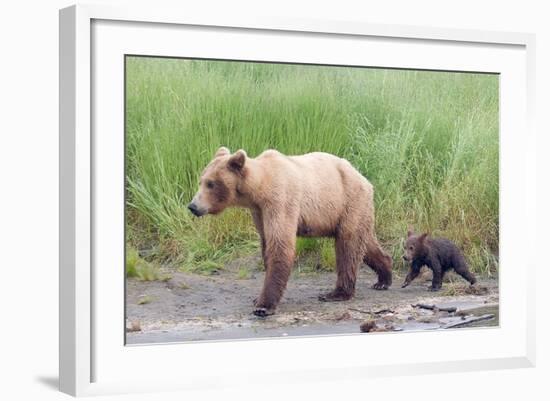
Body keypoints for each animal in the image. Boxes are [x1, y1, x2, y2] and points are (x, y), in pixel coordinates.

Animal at [189, 147, 392, 316]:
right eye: (201, 181)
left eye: (211, 183)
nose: (192, 206)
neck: (258, 188)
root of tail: (364, 178)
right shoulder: (259, 211)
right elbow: (266, 244)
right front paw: (258, 298)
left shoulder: (280, 200)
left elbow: (280, 244)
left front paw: (263, 306)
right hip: (352, 210)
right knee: (364, 243)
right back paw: (384, 278)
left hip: (348, 200)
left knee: (348, 246)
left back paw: (337, 293)